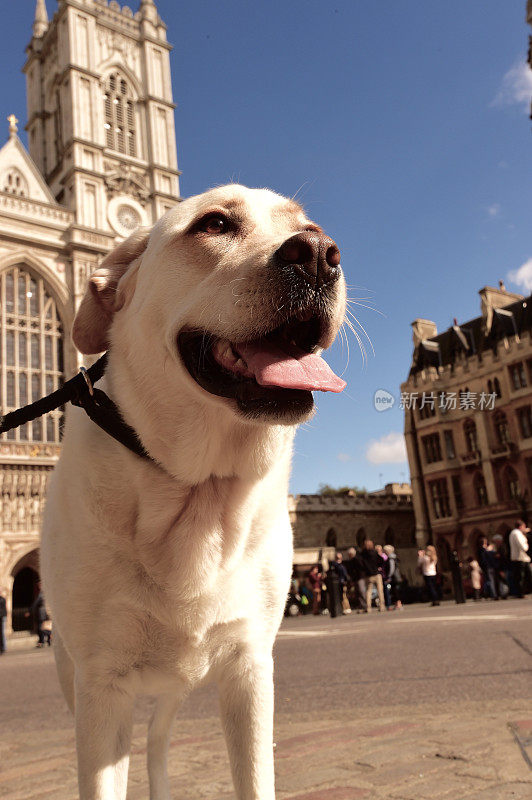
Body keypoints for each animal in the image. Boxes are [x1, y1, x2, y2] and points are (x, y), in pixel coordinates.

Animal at [42, 184, 350, 796]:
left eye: (309, 226)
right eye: (214, 224)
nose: (318, 253)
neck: (199, 490)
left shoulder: (251, 670)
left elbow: (255, 780)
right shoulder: (100, 687)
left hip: (177, 685)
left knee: (158, 741)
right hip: (76, 676)